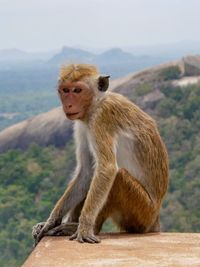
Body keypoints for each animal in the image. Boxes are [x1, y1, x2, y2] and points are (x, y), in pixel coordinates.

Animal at [33, 62, 169, 245]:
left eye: (77, 90)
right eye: (65, 90)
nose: (68, 105)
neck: (96, 103)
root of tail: (155, 219)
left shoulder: (101, 119)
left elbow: (107, 168)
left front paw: (84, 227)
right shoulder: (82, 125)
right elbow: (86, 171)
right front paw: (50, 221)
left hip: (143, 212)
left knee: (117, 177)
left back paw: (88, 227)